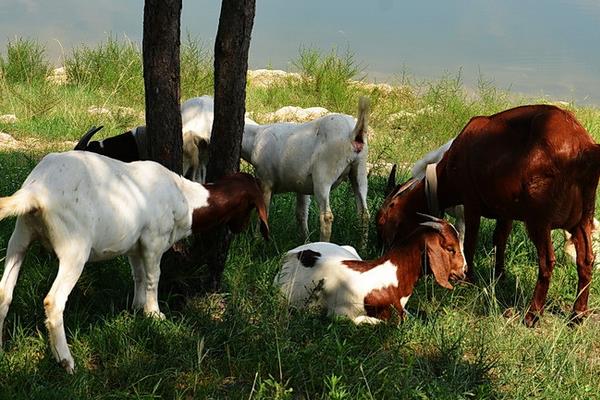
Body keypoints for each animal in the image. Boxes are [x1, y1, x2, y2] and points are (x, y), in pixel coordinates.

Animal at [0, 152, 268, 374]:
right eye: (250, 207)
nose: (240, 229)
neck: (186, 198)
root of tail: (36, 191)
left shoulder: (134, 246)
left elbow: (138, 275)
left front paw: (137, 308)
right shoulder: (153, 240)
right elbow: (153, 277)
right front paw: (154, 314)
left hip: (21, 235)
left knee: (4, 292)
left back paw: (2, 347)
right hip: (74, 248)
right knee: (53, 300)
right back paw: (66, 361)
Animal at [243, 97, 370, 247]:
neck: (254, 138)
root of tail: (354, 133)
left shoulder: (265, 180)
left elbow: (263, 211)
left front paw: (256, 241)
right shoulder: (301, 186)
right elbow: (301, 214)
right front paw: (306, 241)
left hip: (324, 174)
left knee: (326, 216)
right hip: (360, 170)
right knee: (364, 213)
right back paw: (362, 247)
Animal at [376, 104, 600, 326]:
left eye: (381, 219)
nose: (380, 248)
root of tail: (584, 148)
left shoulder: (470, 202)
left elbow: (470, 242)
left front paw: (469, 279)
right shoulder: (505, 210)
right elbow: (500, 238)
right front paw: (500, 274)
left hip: (539, 218)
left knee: (547, 261)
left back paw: (532, 314)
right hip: (583, 217)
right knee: (586, 259)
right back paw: (578, 314)